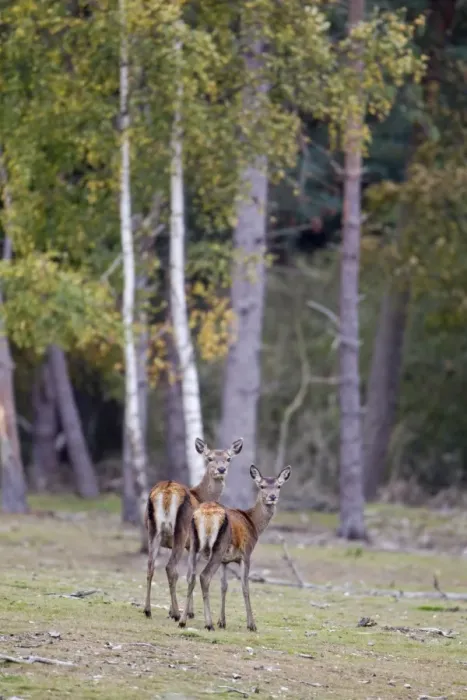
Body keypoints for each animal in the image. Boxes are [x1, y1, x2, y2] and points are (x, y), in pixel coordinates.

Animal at [143, 436, 243, 622]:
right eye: (209, 458)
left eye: (228, 458)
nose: (221, 469)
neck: (202, 496)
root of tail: (166, 492)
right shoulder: (193, 544)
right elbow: (191, 573)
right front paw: (187, 612)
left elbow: (189, 573)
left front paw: (178, 610)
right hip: (181, 531)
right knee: (170, 568)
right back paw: (176, 614)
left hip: (152, 529)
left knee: (150, 565)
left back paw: (148, 610)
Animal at [178, 463, 291, 632]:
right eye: (262, 486)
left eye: (278, 486)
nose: (272, 497)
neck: (254, 525)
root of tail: (204, 514)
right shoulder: (246, 554)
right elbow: (245, 587)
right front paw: (251, 625)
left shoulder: (225, 561)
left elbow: (224, 586)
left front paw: (222, 621)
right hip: (218, 547)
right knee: (204, 576)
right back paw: (208, 624)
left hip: (194, 545)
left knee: (190, 576)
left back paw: (182, 620)